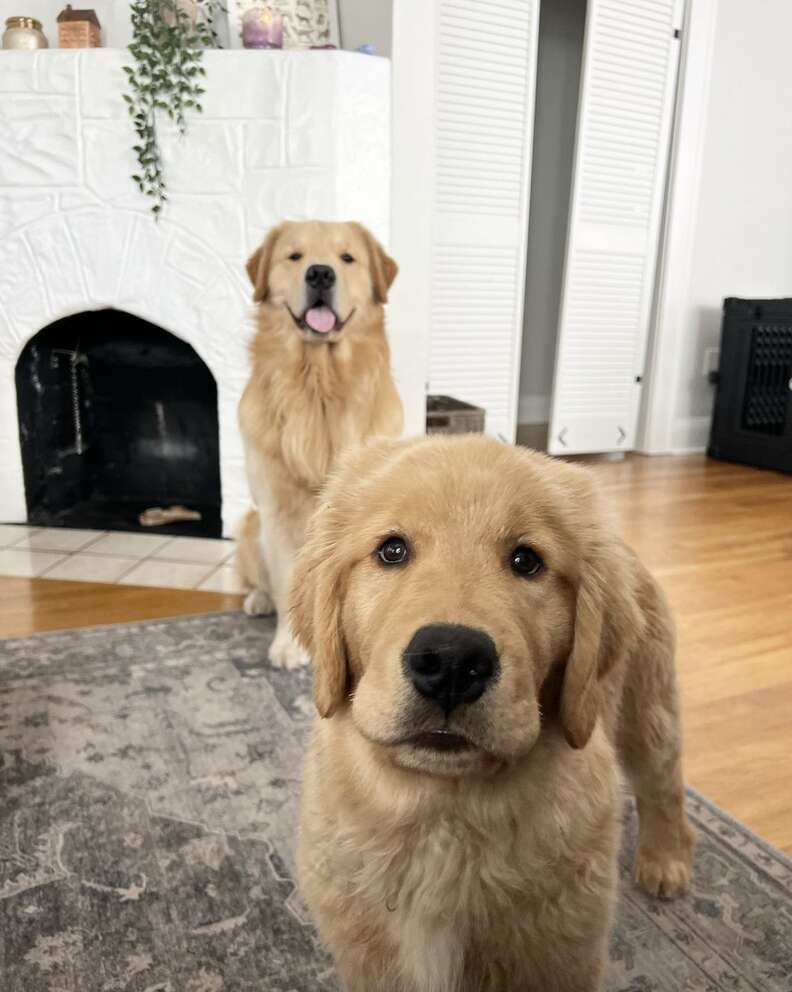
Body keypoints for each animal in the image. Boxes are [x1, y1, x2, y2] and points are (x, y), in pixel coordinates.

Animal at [235, 217, 402, 668]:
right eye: (294, 256)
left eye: (348, 258)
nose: (321, 274)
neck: (319, 386)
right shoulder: (278, 512)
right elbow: (285, 581)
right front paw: (289, 647)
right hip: (251, 525)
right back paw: (258, 600)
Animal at [290, 436, 692, 992]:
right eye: (392, 550)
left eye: (526, 561)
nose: (451, 662)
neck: (444, 815)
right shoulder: (366, 957)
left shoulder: (562, 955)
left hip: (647, 707)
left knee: (663, 784)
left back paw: (665, 860)